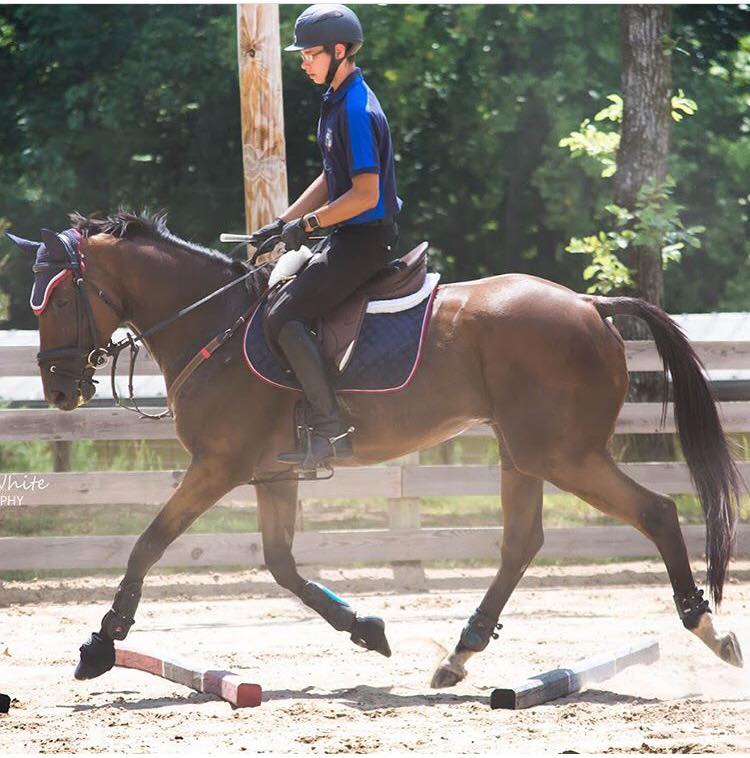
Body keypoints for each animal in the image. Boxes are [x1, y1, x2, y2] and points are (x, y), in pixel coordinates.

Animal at [7, 209, 748, 688]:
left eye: (58, 300)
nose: (59, 390)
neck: (211, 322)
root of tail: (591, 305)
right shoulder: (272, 474)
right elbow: (281, 566)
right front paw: (366, 627)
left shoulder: (217, 466)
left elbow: (148, 544)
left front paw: (100, 643)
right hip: (524, 453)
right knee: (522, 542)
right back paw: (458, 655)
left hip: (564, 453)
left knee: (654, 512)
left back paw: (709, 629)